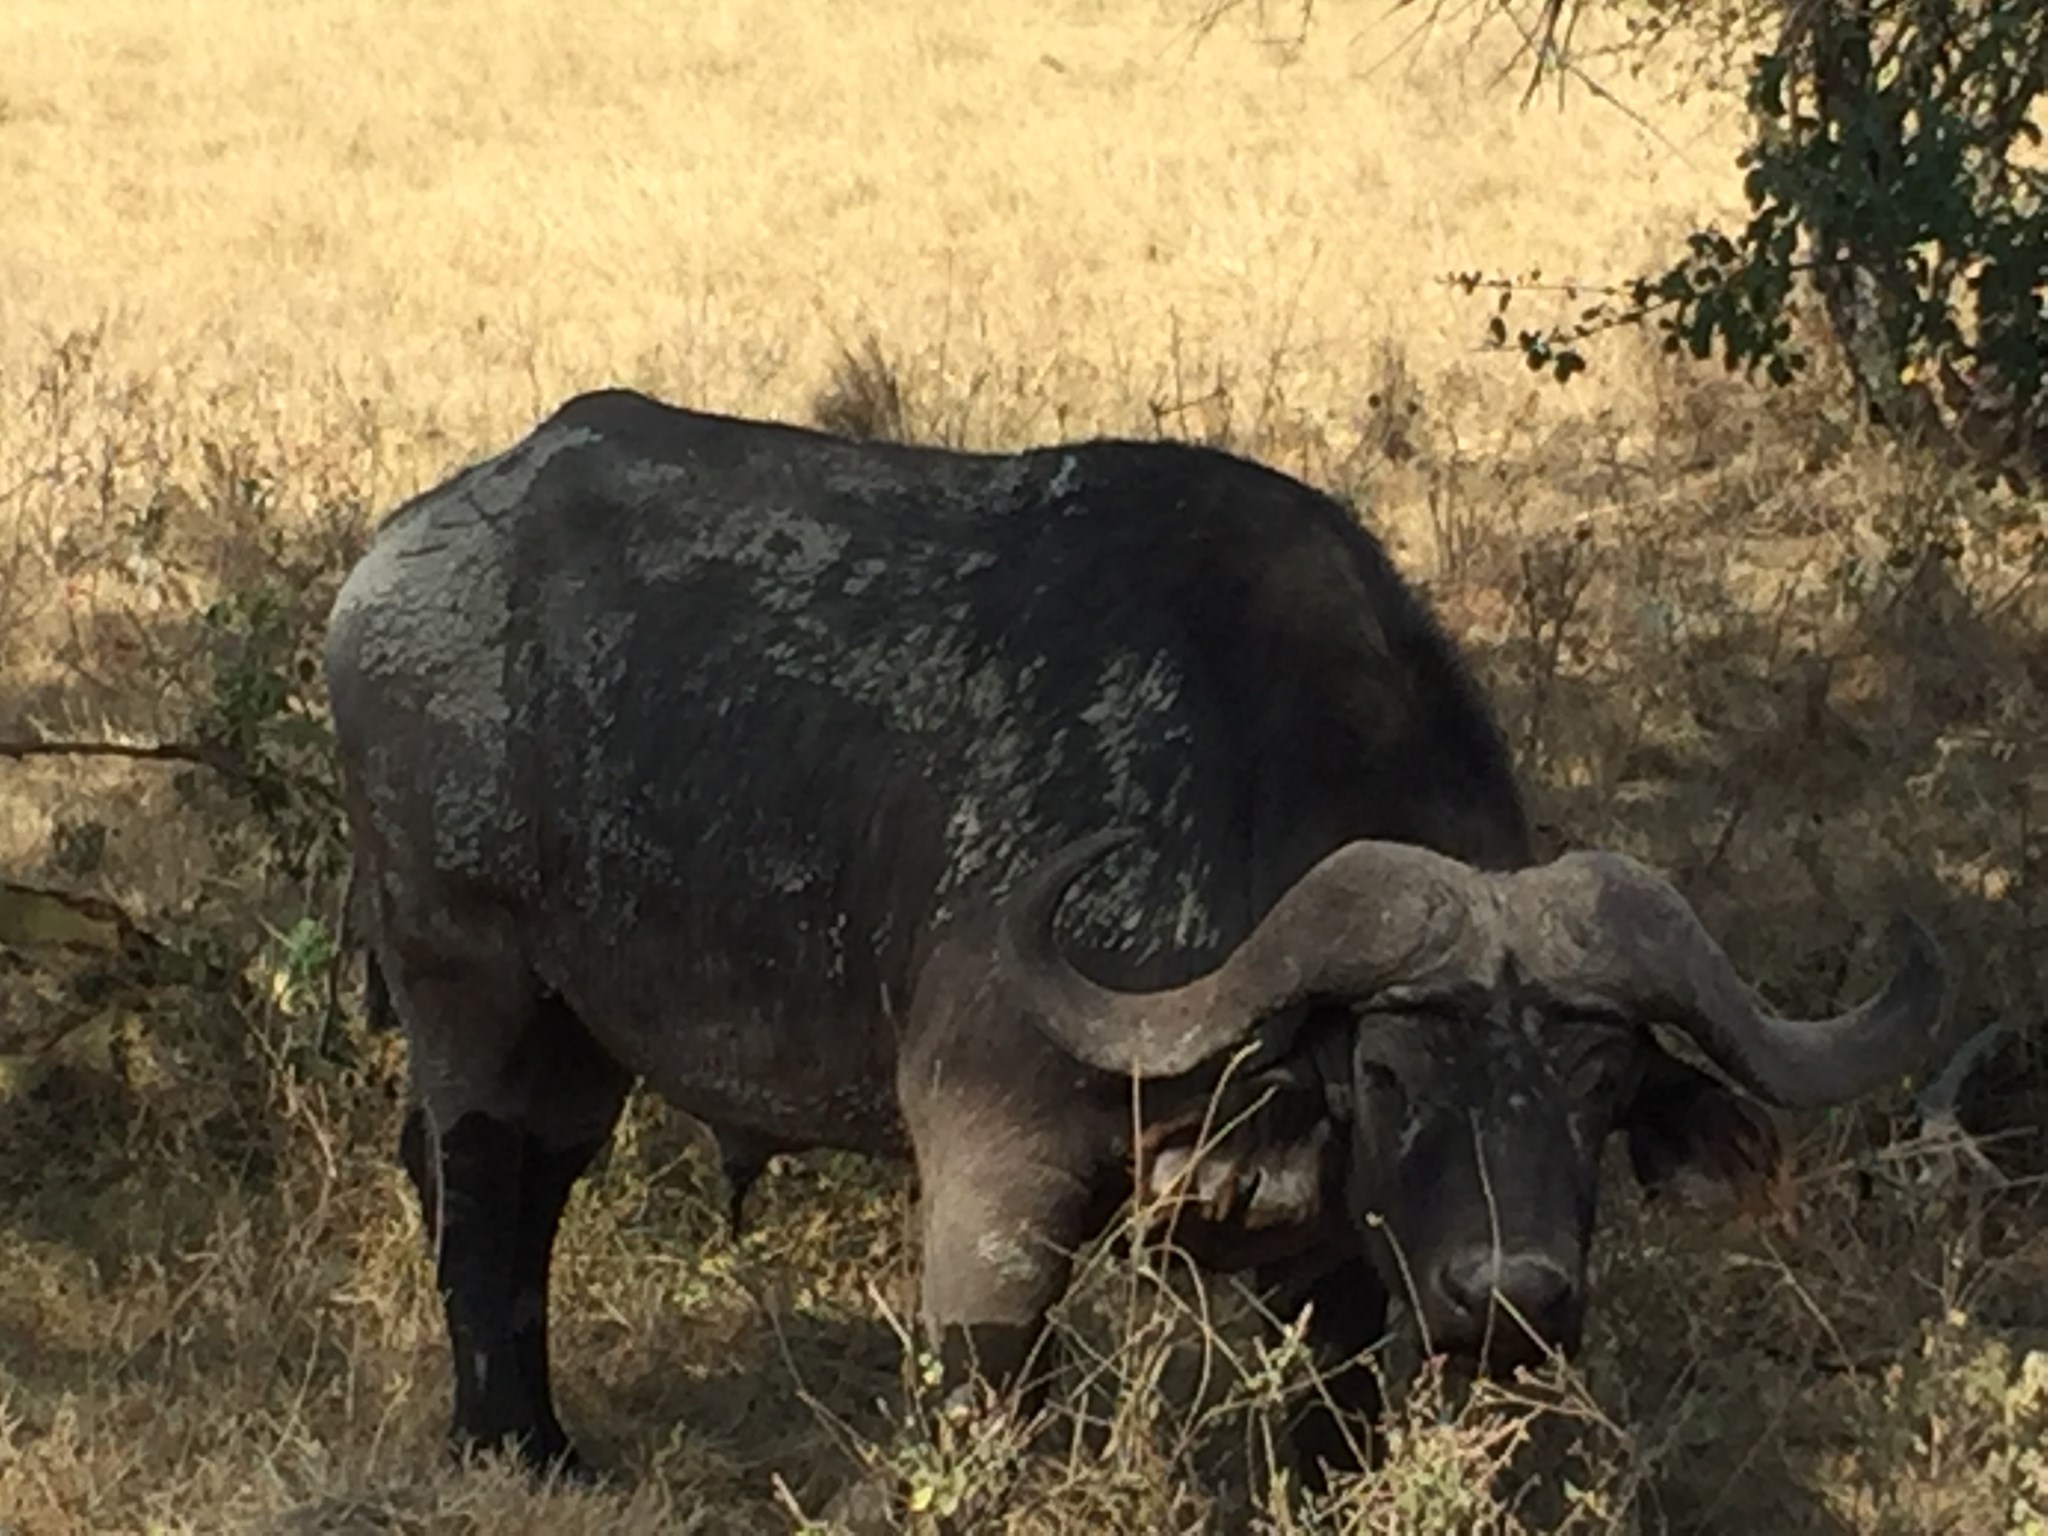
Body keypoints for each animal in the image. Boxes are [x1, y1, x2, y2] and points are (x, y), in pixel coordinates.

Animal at [327, 391, 1941, 1482]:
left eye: (1598, 1085)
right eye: (1392, 1075)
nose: (1514, 1299)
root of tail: (390, 563)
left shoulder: (1341, 1264)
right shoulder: (992, 1172)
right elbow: (986, 1387)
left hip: (581, 1031)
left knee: (533, 1179)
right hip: (468, 979)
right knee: (476, 1180)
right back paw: (511, 1442)